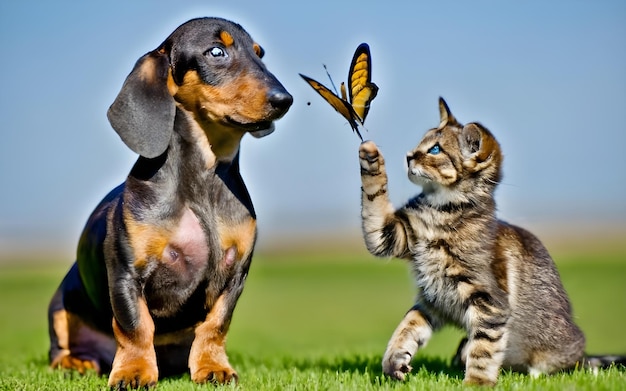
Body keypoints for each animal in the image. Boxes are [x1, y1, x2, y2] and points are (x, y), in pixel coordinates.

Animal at [358, 97, 584, 386]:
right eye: (422, 142)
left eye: (434, 149)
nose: (408, 156)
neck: (441, 210)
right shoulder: (402, 254)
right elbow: (406, 328)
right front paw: (394, 360)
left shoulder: (489, 303)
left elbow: (484, 349)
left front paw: (476, 383)